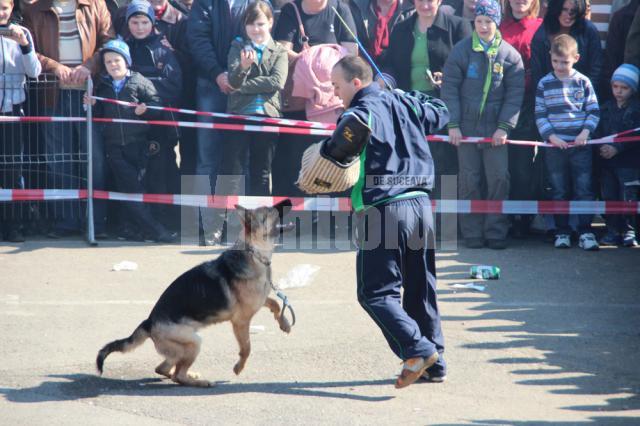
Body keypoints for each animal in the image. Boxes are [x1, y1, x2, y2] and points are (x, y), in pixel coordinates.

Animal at [96, 200, 294, 386]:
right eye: (269, 211)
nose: (289, 201)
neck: (254, 253)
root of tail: (149, 322)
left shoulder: (259, 301)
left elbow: (275, 304)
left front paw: (284, 323)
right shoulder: (241, 321)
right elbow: (247, 348)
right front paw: (239, 367)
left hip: (184, 346)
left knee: (164, 369)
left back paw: (190, 375)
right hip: (194, 342)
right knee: (177, 375)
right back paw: (200, 382)